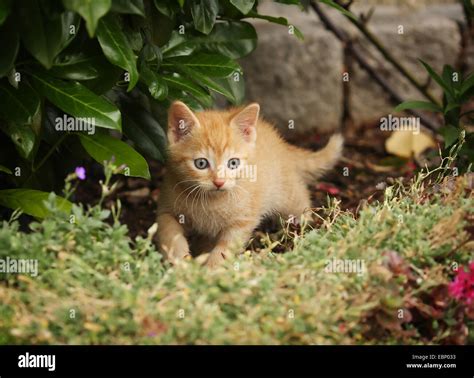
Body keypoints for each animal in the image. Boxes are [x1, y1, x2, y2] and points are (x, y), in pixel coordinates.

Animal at [157, 100, 342, 266]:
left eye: (233, 163)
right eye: (201, 163)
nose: (219, 182)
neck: (211, 200)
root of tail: (281, 143)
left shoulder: (243, 220)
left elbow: (225, 248)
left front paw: (212, 270)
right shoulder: (166, 205)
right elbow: (168, 230)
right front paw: (179, 259)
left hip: (286, 194)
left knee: (300, 199)